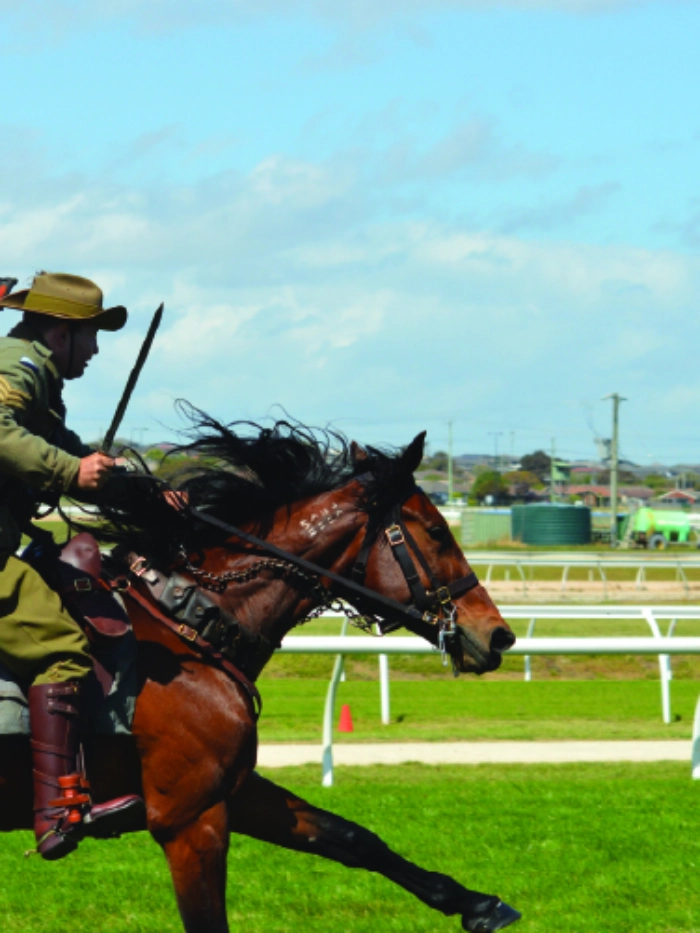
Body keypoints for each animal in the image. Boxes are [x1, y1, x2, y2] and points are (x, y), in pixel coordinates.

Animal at [0, 411, 520, 933]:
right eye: (436, 531)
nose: (499, 635)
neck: (190, 621)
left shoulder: (229, 791)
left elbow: (353, 838)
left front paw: (477, 903)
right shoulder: (188, 820)